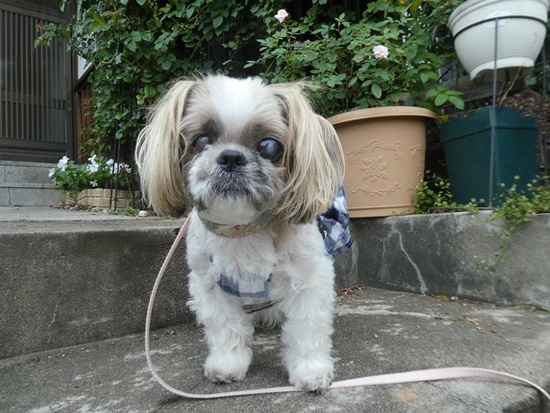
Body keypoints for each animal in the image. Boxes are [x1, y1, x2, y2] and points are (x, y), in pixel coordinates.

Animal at [137, 74, 354, 392]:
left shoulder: (309, 279)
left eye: (269, 146)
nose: (231, 157)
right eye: (201, 140)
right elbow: (226, 327)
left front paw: (310, 371)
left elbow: (306, 329)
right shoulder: (210, 285)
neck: (243, 230)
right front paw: (228, 365)